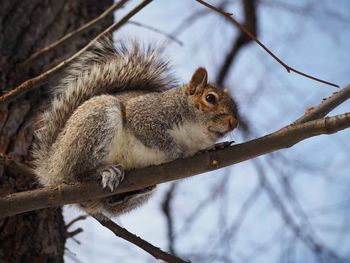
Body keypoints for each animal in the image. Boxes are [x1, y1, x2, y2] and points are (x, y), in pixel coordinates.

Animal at [32, 36, 238, 219]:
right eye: (210, 98)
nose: (234, 123)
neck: (194, 134)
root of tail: (51, 168)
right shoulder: (145, 115)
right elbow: (156, 137)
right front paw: (181, 152)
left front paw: (212, 148)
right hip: (94, 125)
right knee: (76, 174)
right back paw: (103, 171)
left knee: (111, 206)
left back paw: (133, 192)